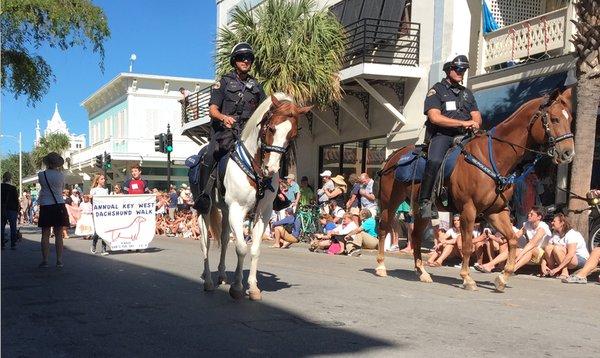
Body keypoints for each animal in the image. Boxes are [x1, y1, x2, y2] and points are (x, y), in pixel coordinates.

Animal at [198, 92, 312, 300]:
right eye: (271, 127)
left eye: (292, 135)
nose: (272, 168)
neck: (255, 169)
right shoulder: (238, 209)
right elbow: (242, 247)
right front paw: (237, 287)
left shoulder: (263, 213)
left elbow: (255, 249)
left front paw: (252, 287)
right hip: (205, 210)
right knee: (206, 243)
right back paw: (209, 280)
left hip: (225, 211)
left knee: (224, 240)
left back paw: (221, 275)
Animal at [378, 88, 576, 292]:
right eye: (554, 119)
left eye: (569, 119)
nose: (568, 153)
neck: (493, 157)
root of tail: (393, 157)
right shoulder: (468, 209)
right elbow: (467, 245)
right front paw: (467, 278)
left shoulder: (496, 212)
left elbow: (512, 239)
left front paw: (503, 277)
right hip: (390, 202)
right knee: (383, 228)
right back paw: (381, 267)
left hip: (420, 210)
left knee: (416, 236)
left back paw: (422, 272)